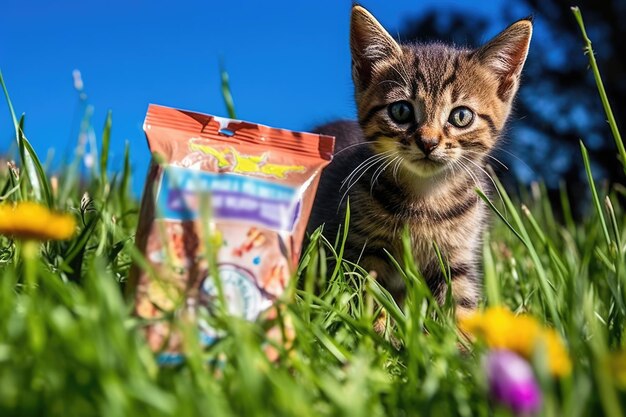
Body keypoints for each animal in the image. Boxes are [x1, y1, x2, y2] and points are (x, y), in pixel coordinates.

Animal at [308, 4, 532, 316]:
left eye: (461, 116)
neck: (426, 201)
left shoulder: (457, 258)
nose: (428, 142)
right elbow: (369, 301)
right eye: (401, 111)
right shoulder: (361, 251)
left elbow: (461, 306)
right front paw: (377, 328)